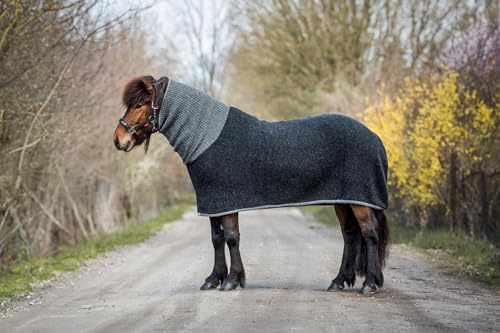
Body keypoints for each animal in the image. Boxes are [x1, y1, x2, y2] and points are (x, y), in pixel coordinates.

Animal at [113, 74, 390, 294]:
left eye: (139, 104)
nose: (118, 139)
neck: (207, 138)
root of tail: (375, 137)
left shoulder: (227, 201)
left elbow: (231, 238)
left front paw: (232, 280)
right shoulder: (214, 202)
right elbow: (216, 238)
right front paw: (214, 279)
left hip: (359, 202)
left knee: (370, 233)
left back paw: (370, 284)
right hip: (343, 200)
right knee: (350, 234)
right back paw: (339, 281)